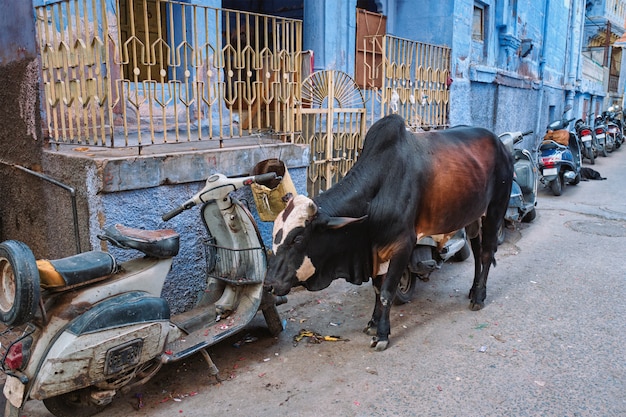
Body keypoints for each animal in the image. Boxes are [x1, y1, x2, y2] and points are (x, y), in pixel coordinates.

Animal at [264, 113, 512, 348]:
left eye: (297, 239)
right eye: (274, 238)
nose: (269, 285)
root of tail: (501, 145)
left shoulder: (403, 245)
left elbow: (386, 292)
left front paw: (382, 334)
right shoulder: (375, 249)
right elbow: (377, 288)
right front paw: (373, 324)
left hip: (495, 209)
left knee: (487, 253)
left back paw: (479, 297)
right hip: (473, 216)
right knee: (478, 251)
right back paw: (473, 289)